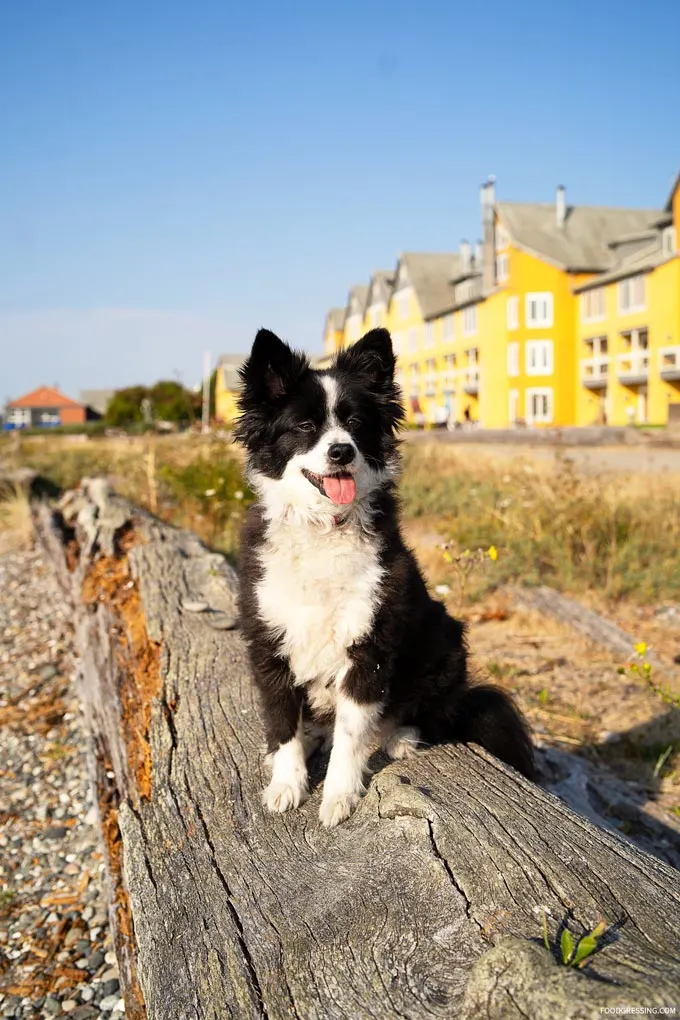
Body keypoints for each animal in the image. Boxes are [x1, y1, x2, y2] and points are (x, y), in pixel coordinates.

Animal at [236, 326, 534, 828]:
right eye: (304, 427)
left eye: (356, 423)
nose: (342, 451)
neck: (324, 526)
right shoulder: (269, 642)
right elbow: (282, 722)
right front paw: (286, 783)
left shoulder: (369, 647)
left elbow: (352, 734)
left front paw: (338, 795)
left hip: (443, 642)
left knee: (423, 711)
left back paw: (401, 736)